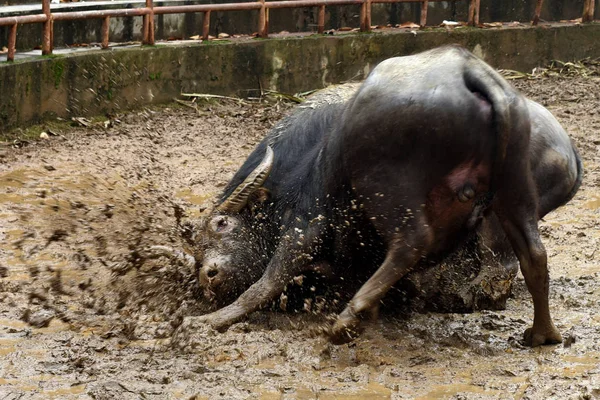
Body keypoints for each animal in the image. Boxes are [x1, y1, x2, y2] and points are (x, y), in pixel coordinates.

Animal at [190, 46, 580, 346]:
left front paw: (211, 321)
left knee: (421, 245)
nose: (207, 276)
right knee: (533, 255)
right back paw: (542, 334)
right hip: (513, 191)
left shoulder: (307, 222)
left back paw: (350, 319)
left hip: (389, 189)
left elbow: (269, 279)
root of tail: (467, 70)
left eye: (222, 224)